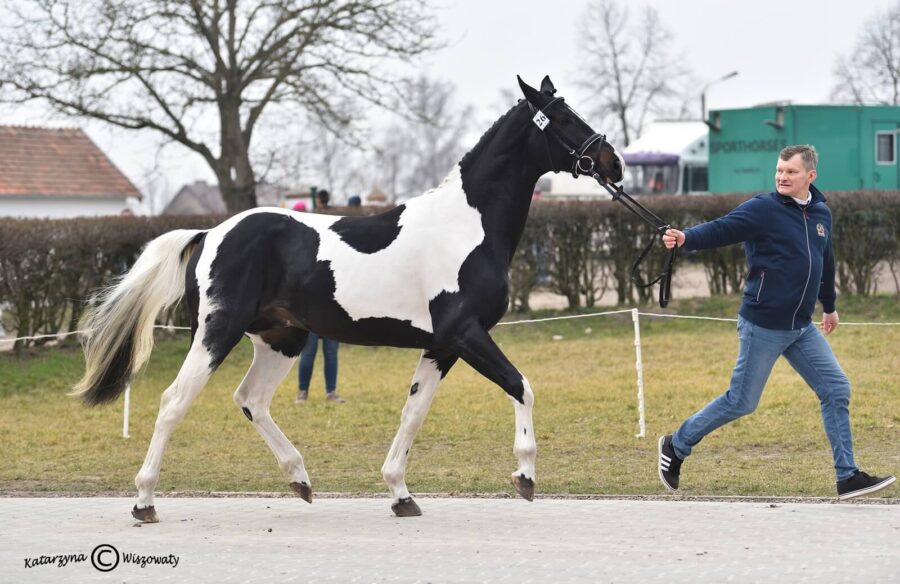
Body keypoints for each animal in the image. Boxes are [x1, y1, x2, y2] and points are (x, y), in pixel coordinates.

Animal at [74, 76, 624, 520]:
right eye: (564, 118)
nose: (612, 162)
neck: (467, 226)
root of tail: (210, 233)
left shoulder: (442, 345)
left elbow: (413, 413)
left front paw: (401, 494)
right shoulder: (467, 334)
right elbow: (521, 386)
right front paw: (525, 476)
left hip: (283, 340)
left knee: (251, 400)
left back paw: (300, 479)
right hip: (215, 333)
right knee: (173, 402)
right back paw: (144, 502)